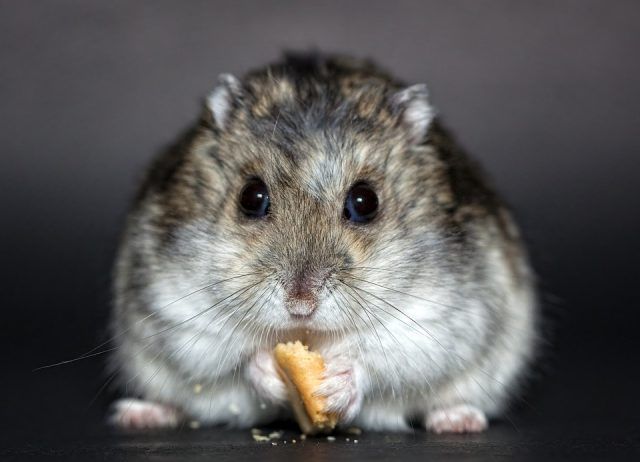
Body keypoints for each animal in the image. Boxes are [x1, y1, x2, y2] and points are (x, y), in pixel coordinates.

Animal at [108, 53, 537, 433]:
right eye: (251, 197)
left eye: (365, 202)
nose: (301, 306)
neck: (310, 335)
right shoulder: (177, 310)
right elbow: (235, 358)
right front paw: (270, 370)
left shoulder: (437, 319)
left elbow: (380, 360)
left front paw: (334, 386)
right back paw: (139, 414)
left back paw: (458, 420)